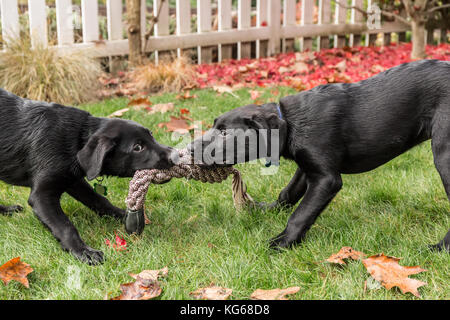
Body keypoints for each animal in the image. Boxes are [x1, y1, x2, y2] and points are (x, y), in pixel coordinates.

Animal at [0, 88, 175, 264]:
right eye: (138, 147)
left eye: (151, 135)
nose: (175, 156)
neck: (77, 138)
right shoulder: (41, 195)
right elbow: (65, 226)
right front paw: (83, 251)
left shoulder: (73, 179)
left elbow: (98, 200)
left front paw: (121, 215)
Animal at [191, 58, 450, 251]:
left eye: (225, 133)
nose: (191, 149)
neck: (290, 122)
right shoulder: (307, 166)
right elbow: (288, 192)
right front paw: (269, 209)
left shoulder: (327, 179)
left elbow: (301, 213)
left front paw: (282, 242)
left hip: (444, 155)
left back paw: (439, 248)